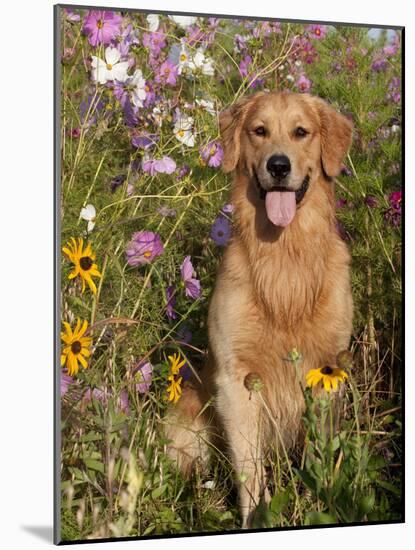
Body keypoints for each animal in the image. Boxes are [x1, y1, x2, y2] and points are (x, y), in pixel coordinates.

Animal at [166, 91, 354, 532]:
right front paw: (258, 517)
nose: (278, 165)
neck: (284, 259)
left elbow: (320, 457)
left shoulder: (327, 372)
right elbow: (250, 469)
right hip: (186, 424)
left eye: (301, 132)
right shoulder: (237, 381)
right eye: (259, 131)